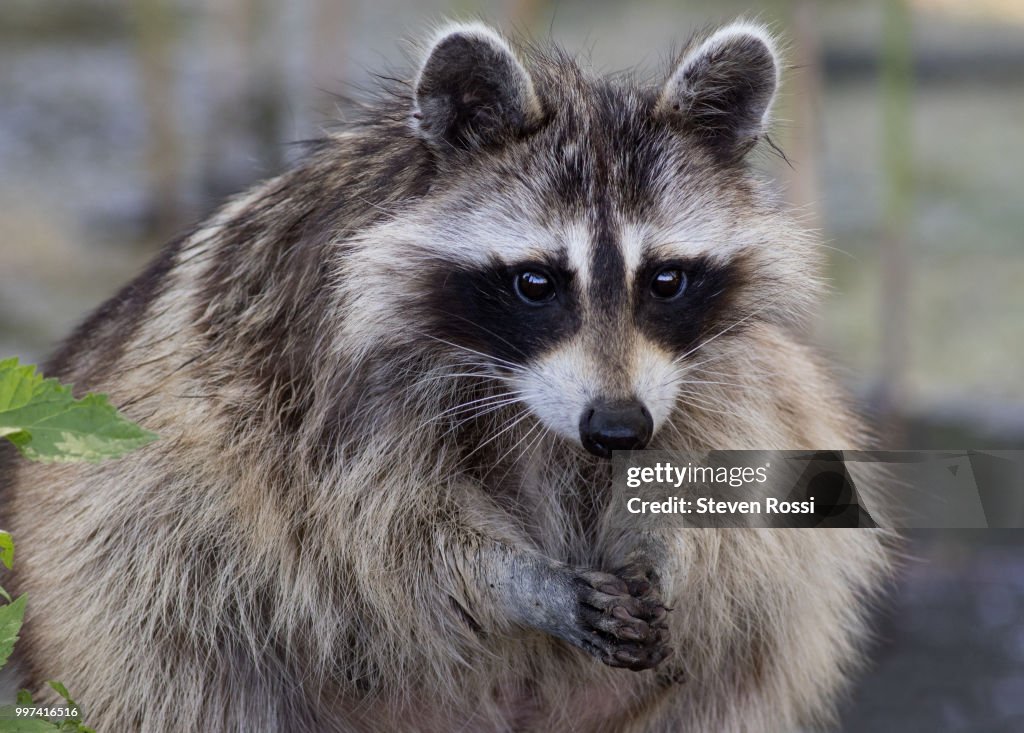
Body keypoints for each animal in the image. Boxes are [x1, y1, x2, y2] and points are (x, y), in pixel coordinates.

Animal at [1, 20, 893, 733]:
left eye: (666, 280)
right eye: (537, 282)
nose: (616, 428)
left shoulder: (716, 370)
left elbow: (736, 477)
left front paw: (663, 544)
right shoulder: (324, 381)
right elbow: (385, 533)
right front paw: (521, 582)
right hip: (126, 593)